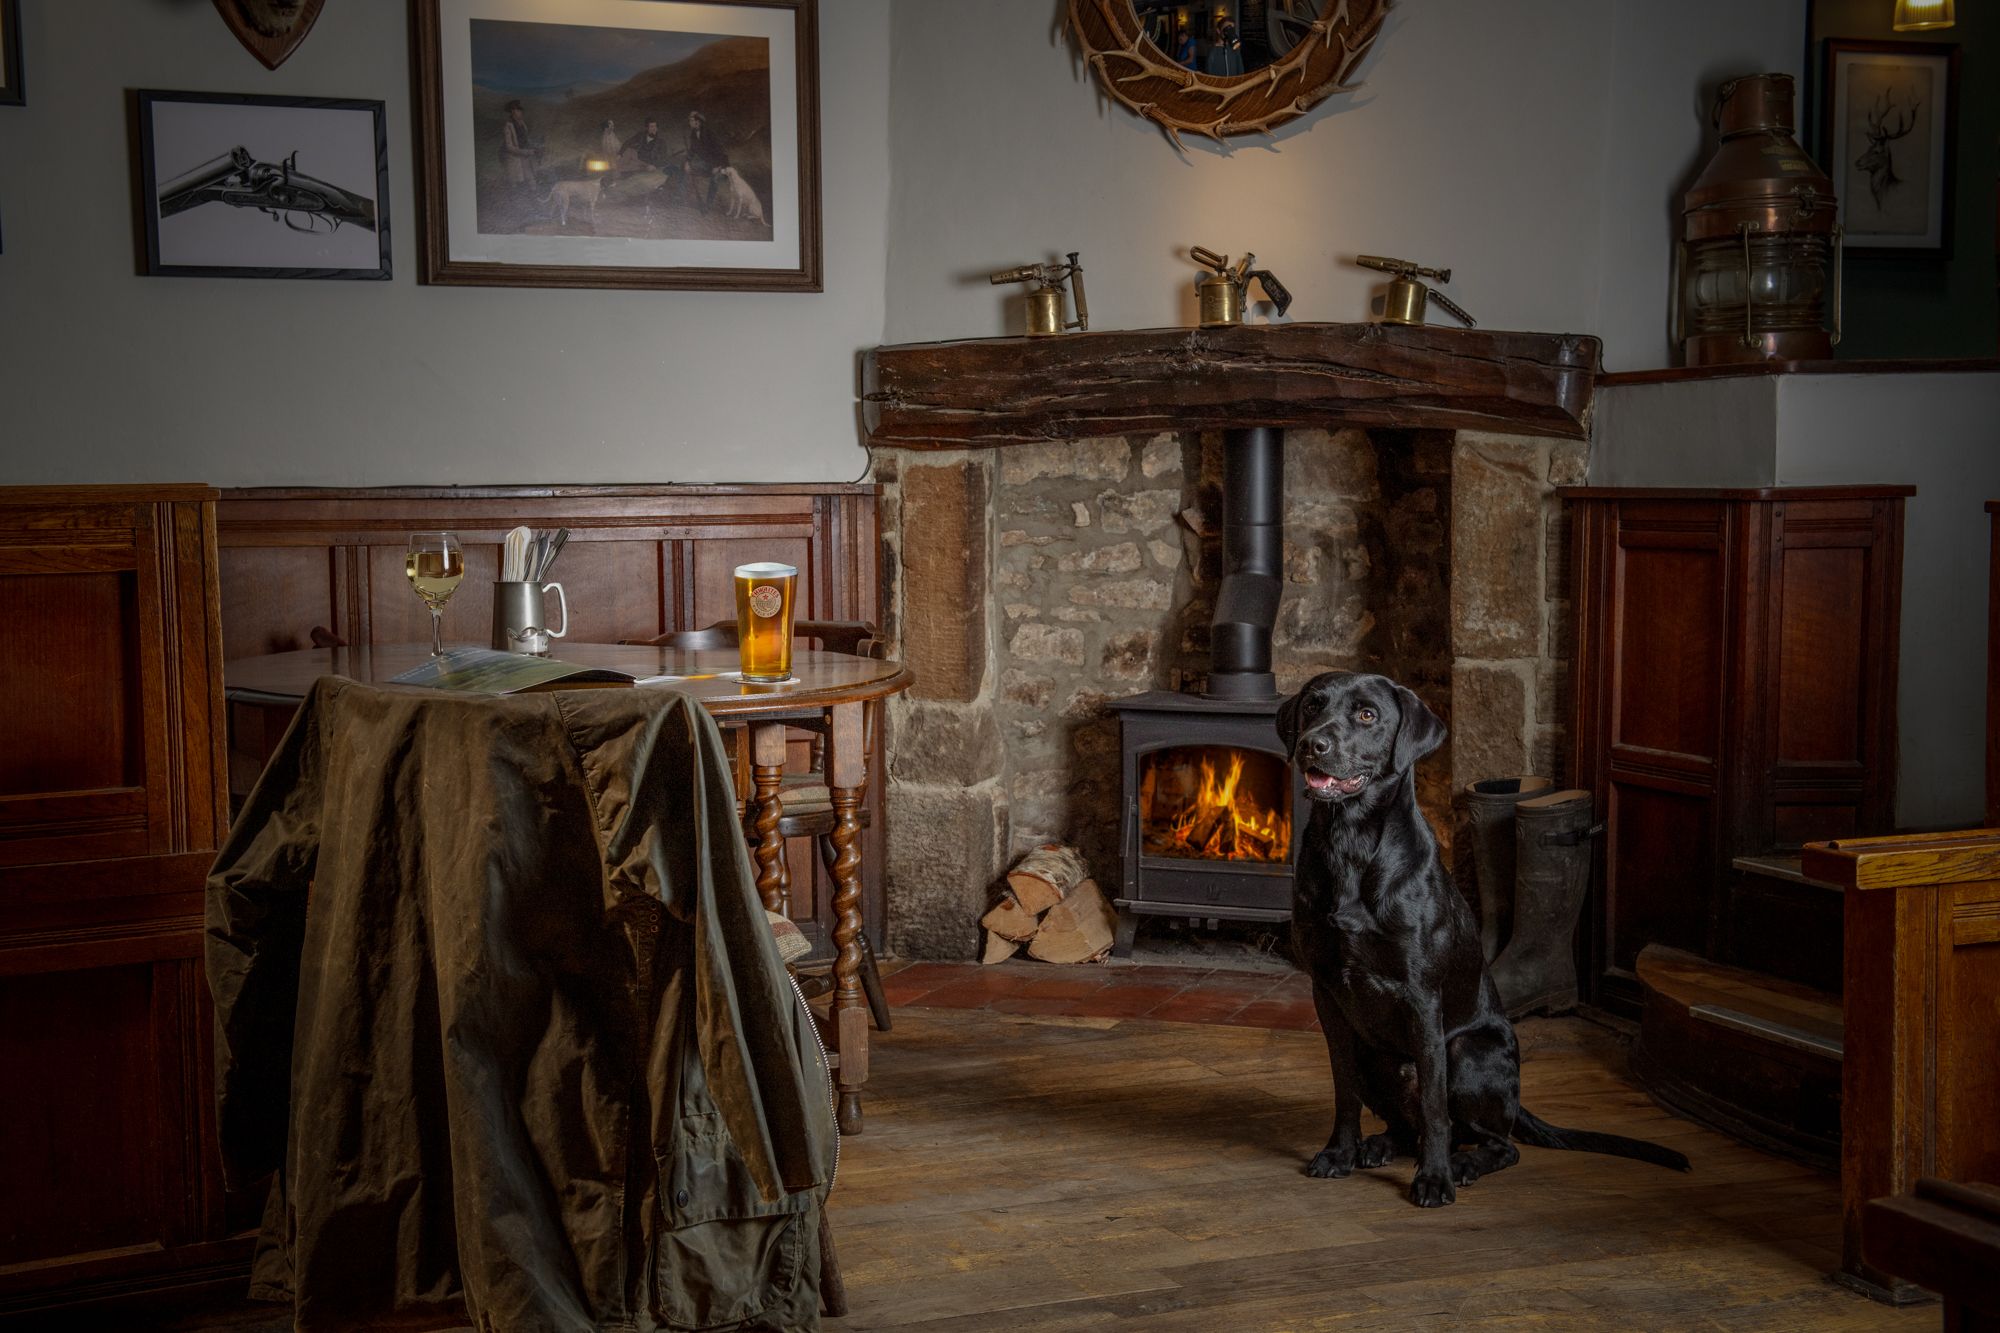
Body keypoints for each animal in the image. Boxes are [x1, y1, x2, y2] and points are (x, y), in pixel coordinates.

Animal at [1280, 668, 1688, 1200]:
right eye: (1312, 705)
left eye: (1367, 714)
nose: (1313, 743)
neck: (1349, 844)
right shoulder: (1327, 994)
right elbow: (1343, 1087)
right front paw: (1339, 1153)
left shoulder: (1421, 997)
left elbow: (1434, 1106)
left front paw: (1434, 1180)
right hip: (1375, 1054)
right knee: (1411, 1125)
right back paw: (1379, 1146)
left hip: (1468, 1052)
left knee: (1494, 1142)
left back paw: (1462, 1165)